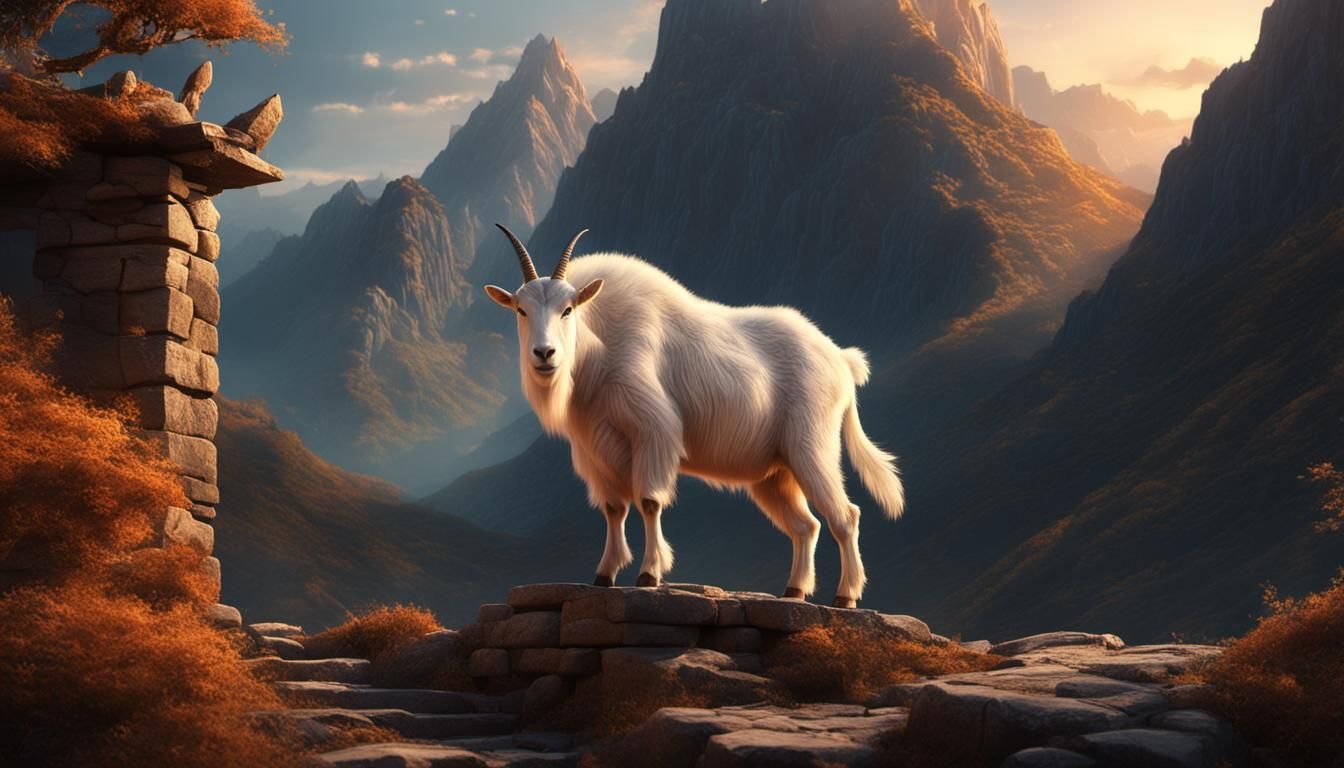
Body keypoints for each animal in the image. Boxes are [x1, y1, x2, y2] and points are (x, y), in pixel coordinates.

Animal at [484, 225, 904, 607]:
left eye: (567, 310)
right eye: (521, 310)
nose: (544, 354)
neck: (599, 345)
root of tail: (842, 361)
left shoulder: (654, 432)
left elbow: (649, 501)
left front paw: (649, 574)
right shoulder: (594, 450)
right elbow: (613, 509)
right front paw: (604, 574)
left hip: (811, 448)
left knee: (845, 516)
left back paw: (845, 596)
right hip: (777, 473)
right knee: (806, 526)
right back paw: (794, 591)